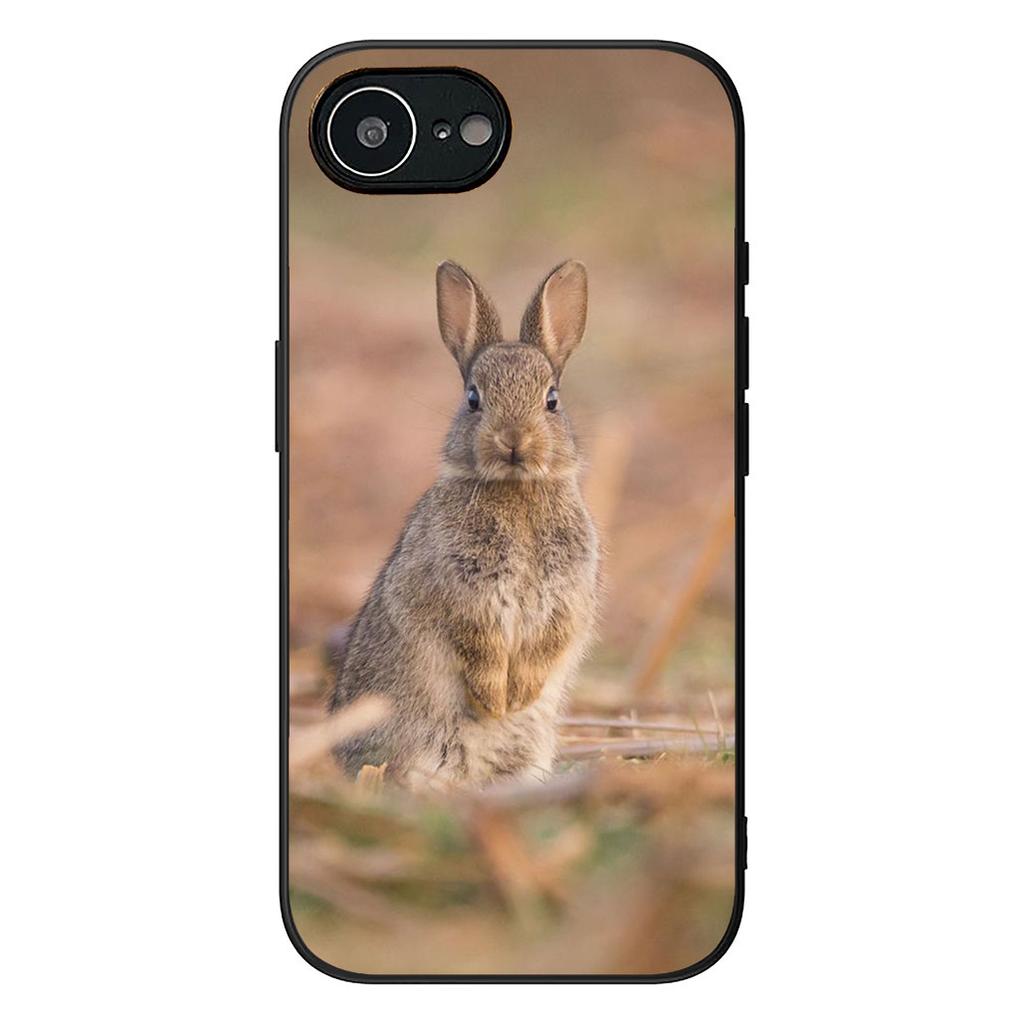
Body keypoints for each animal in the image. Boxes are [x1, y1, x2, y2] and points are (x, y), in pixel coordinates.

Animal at [328, 260, 600, 787]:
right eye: (474, 398)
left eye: (552, 400)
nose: (514, 440)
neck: (515, 489)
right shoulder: (461, 592)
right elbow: (478, 644)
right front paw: (495, 701)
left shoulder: (566, 596)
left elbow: (548, 642)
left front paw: (519, 696)